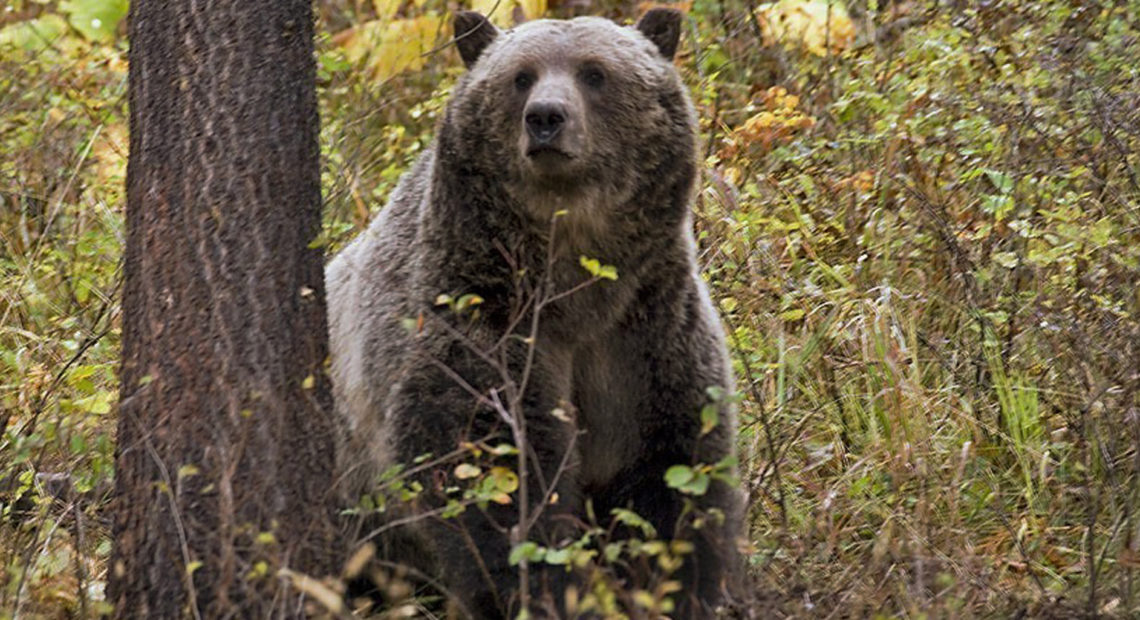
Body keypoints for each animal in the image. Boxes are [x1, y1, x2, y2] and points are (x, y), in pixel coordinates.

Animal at [326, 8, 743, 615]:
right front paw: (538, 587)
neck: (575, 285)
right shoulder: (481, 320)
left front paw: (679, 587)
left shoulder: (646, 332)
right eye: (520, 76)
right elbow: (495, 473)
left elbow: (671, 474)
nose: (546, 117)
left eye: (594, 72)